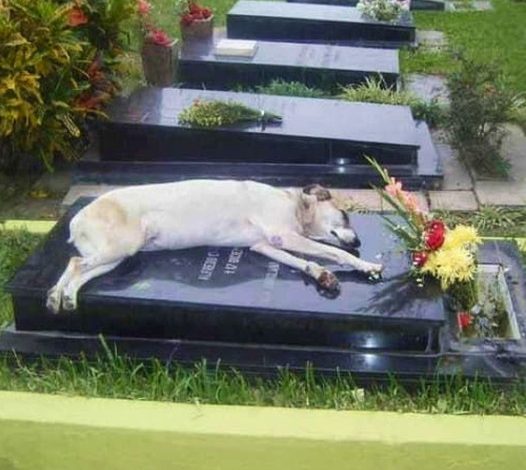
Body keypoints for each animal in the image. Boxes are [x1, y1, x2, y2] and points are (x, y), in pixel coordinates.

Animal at [46, 179, 384, 312]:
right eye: (345, 216)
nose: (360, 241)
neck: (294, 205)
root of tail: (76, 219)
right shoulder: (282, 236)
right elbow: (334, 252)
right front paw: (365, 265)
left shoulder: (265, 245)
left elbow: (306, 262)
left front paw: (322, 276)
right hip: (119, 247)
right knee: (74, 263)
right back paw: (56, 295)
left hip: (114, 257)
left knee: (79, 272)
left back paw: (63, 297)